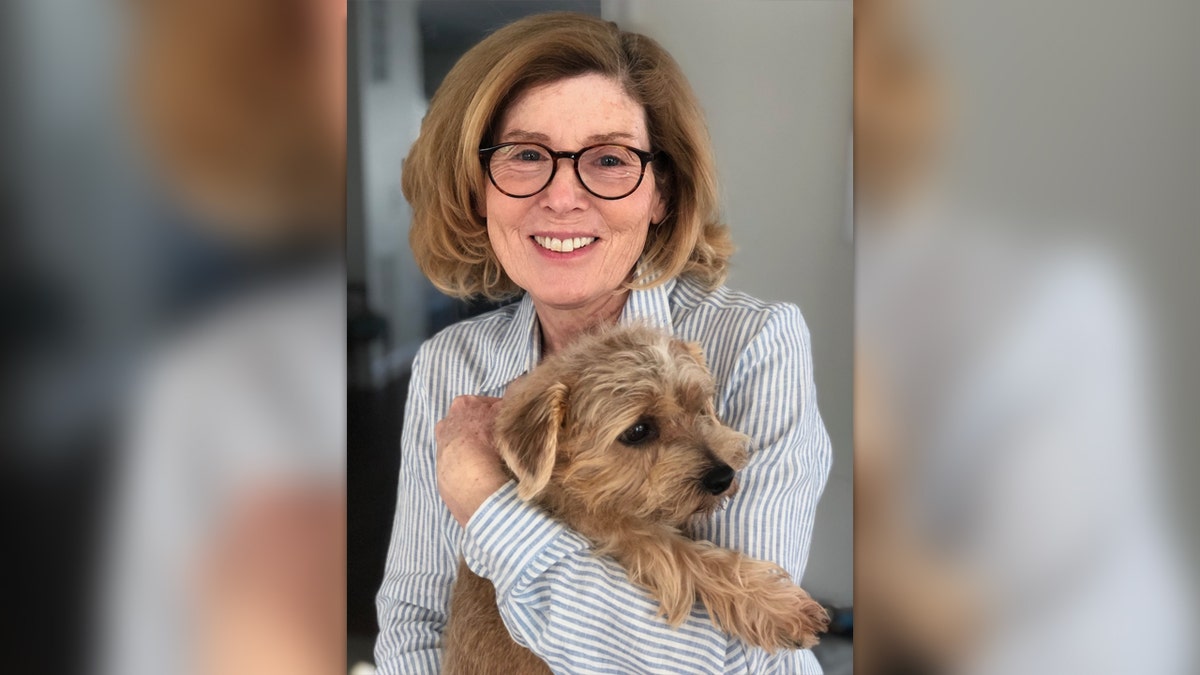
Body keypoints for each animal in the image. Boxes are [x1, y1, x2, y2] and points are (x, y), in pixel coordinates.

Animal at [446, 324, 830, 667]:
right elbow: (686, 558)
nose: (723, 476)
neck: (579, 482)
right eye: (638, 430)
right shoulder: (617, 528)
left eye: (698, 406)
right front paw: (781, 610)